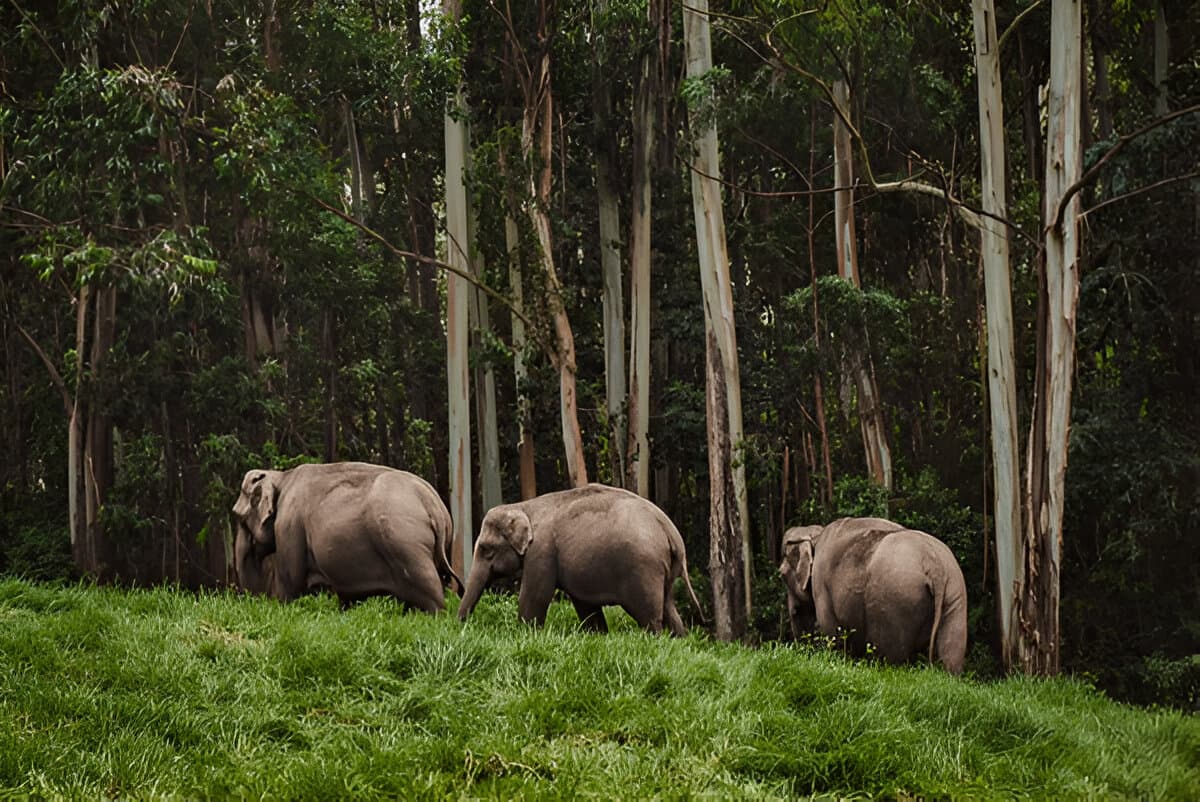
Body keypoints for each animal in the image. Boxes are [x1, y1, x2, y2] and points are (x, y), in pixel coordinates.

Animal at [231, 461, 461, 612]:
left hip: (405, 543)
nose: (254, 602)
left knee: (430, 593)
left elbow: (291, 583)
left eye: (239, 517)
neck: (282, 476)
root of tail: (434, 506)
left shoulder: (289, 527)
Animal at [457, 484, 703, 635]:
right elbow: (584, 604)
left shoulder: (541, 552)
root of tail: (671, 532)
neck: (523, 506)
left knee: (650, 616)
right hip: (665, 570)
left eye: (486, 549)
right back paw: (679, 639)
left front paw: (526, 632)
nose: (462, 625)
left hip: (643, 570)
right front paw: (598, 634)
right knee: (670, 608)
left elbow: (535, 596)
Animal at [779, 516, 968, 673]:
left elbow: (831, 630)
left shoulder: (821, 585)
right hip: (955, 594)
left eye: (781, 574)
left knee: (891, 656)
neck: (816, 534)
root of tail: (934, 565)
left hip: (895, 601)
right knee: (951, 654)